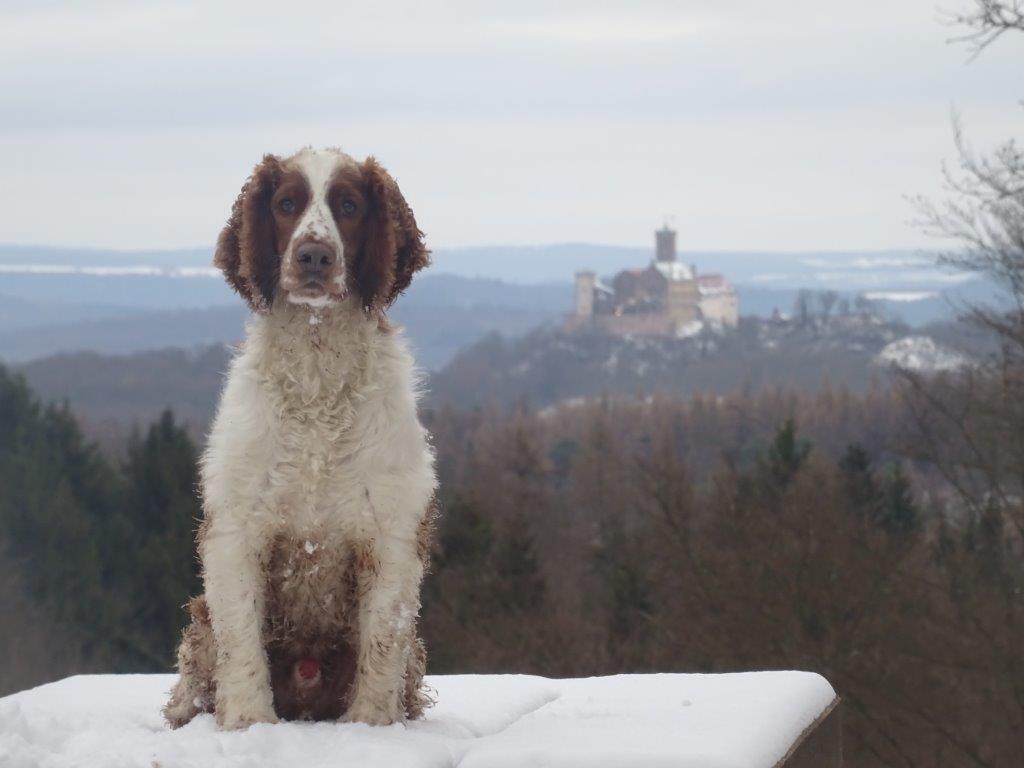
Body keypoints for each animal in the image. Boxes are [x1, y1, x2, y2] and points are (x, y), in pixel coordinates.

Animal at [162, 147, 436, 729]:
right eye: (286, 204)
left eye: (349, 206)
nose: (314, 257)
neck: (317, 383)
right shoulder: (236, 529)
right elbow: (242, 641)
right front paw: (248, 725)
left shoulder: (391, 535)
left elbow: (383, 643)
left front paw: (369, 729)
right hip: (198, 630)